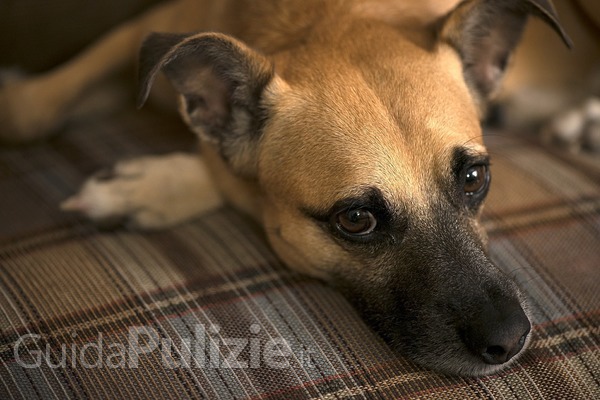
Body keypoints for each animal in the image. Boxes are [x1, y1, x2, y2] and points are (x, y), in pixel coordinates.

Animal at [0, 0, 572, 376]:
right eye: (356, 219)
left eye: (474, 178)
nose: (510, 340)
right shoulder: (146, 26)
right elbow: (34, 110)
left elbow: (223, 171)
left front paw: (146, 187)